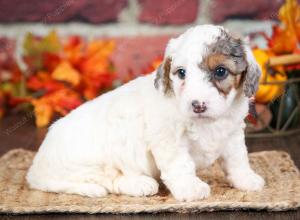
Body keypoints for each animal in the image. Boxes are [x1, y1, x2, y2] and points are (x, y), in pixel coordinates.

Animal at [27, 24, 264, 201]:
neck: (207, 123)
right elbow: (181, 164)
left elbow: (238, 159)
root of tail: (36, 169)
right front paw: (191, 188)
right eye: (181, 73)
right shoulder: (169, 141)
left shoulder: (233, 134)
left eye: (220, 71)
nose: (197, 105)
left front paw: (246, 179)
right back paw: (140, 183)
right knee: (108, 180)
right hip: (96, 160)